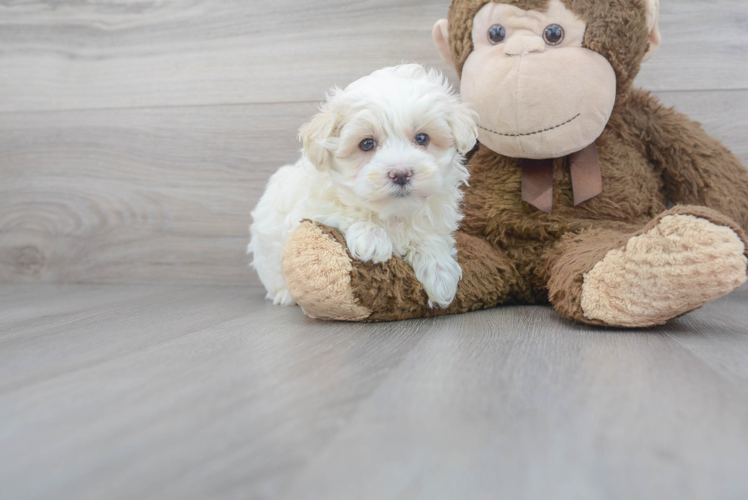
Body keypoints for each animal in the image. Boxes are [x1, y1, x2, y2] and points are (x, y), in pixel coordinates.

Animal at [248, 63, 476, 308]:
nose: (400, 174)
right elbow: (343, 210)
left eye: (422, 138)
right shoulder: (309, 208)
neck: (393, 214)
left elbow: (431, 237)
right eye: (367, 144)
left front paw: (440, 274)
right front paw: (372, 238)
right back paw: (284, 294)